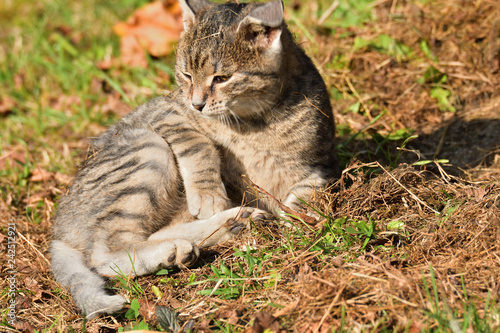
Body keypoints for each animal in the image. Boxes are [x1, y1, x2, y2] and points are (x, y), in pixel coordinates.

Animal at [49, 0, 336, 318]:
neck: (255, 122)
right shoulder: (170, 112)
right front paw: (209, 195)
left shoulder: (319, 166)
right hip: (148, 149)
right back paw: (181, 246)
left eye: (222, 78)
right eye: (186, 75)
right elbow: (199, 143)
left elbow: (307, 196)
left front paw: (300, 221)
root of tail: (60, 229)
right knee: (106, 253)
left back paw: (231, 224)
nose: (197, 103)